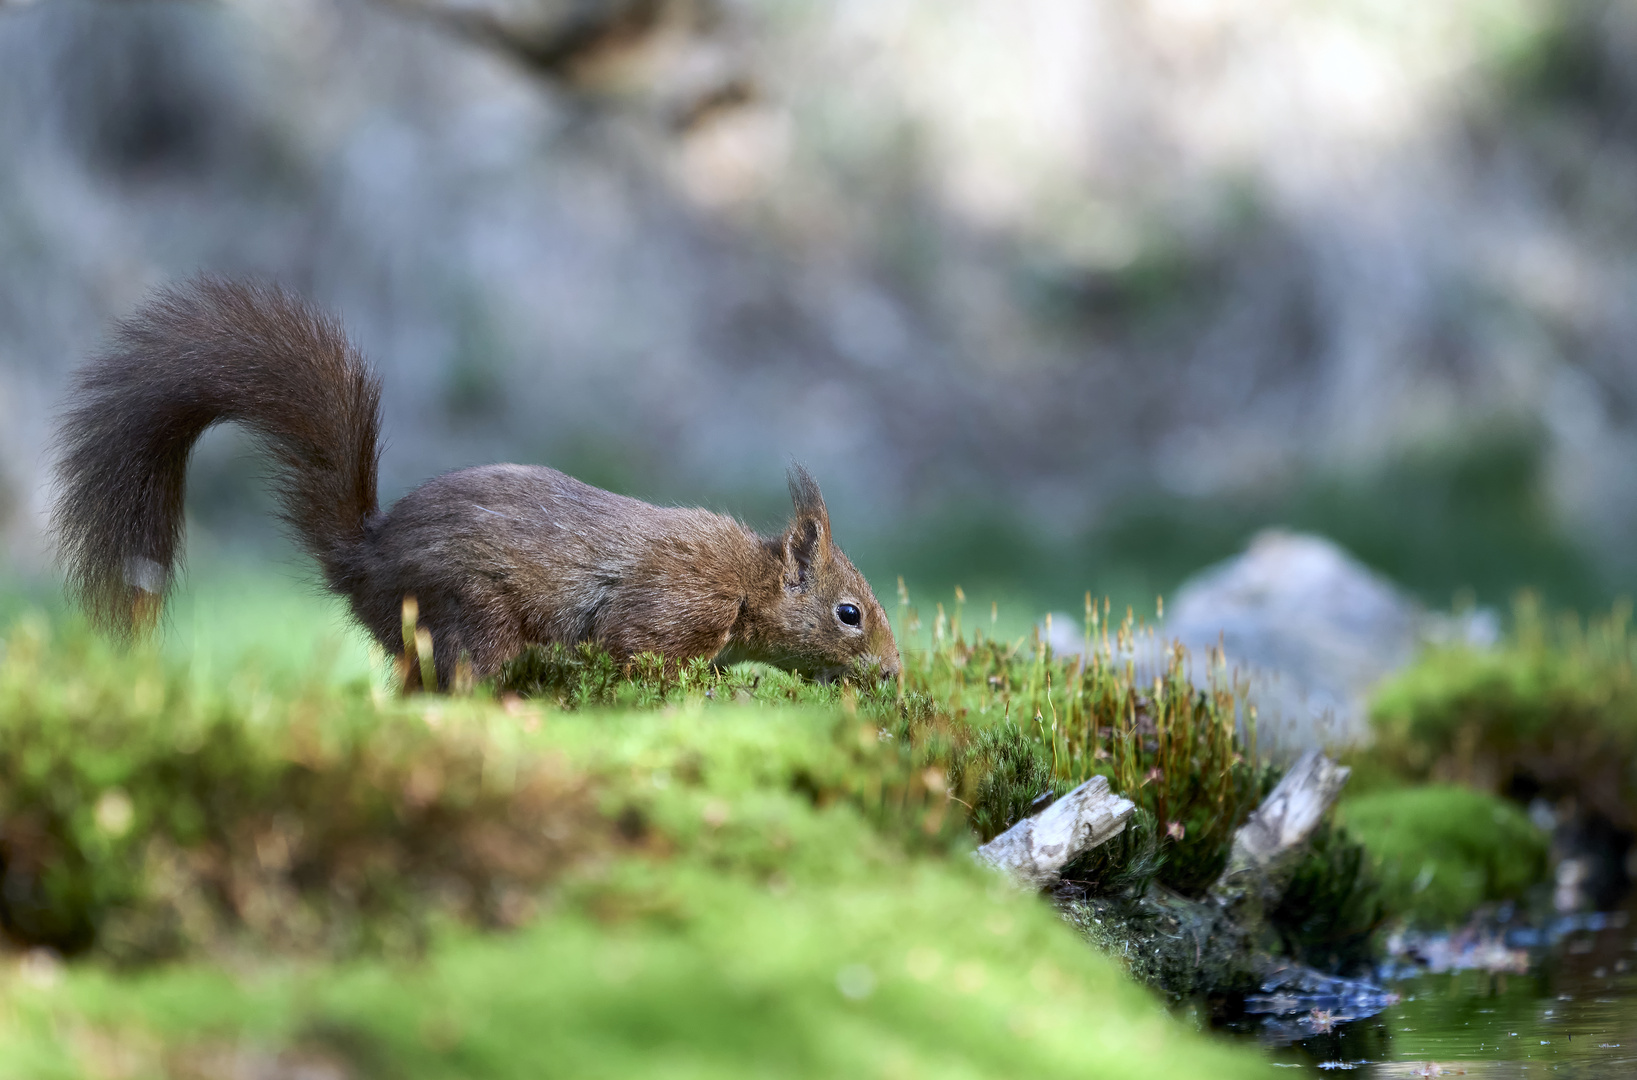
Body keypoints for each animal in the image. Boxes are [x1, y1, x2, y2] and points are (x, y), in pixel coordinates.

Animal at [51, 276, 903, 684]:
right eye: (850, 613)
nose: (895, 674)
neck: (746, 584)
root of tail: (364, 559)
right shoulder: (670, 610)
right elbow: (643, 656)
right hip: (469, 614)